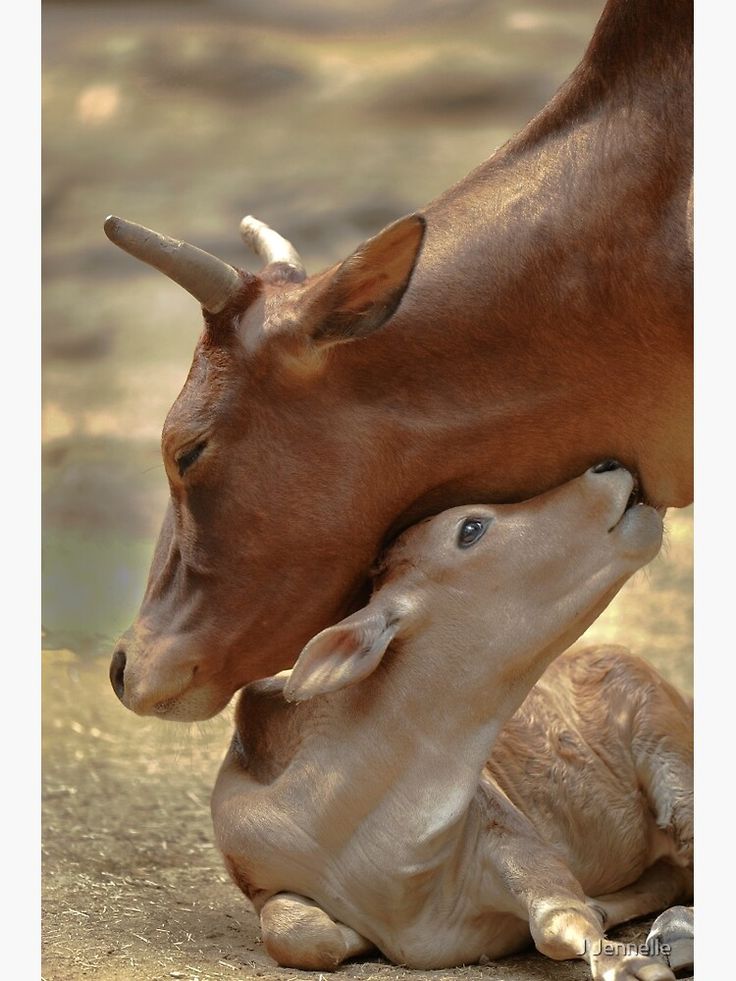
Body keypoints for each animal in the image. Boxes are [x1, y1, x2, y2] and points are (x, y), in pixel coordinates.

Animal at [211, 464, 688, 976]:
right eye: (470, 528)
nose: (608, 467)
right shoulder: (263, 880)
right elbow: (298, 934)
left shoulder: (519, 841)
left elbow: (558, 921)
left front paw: (631, 964)